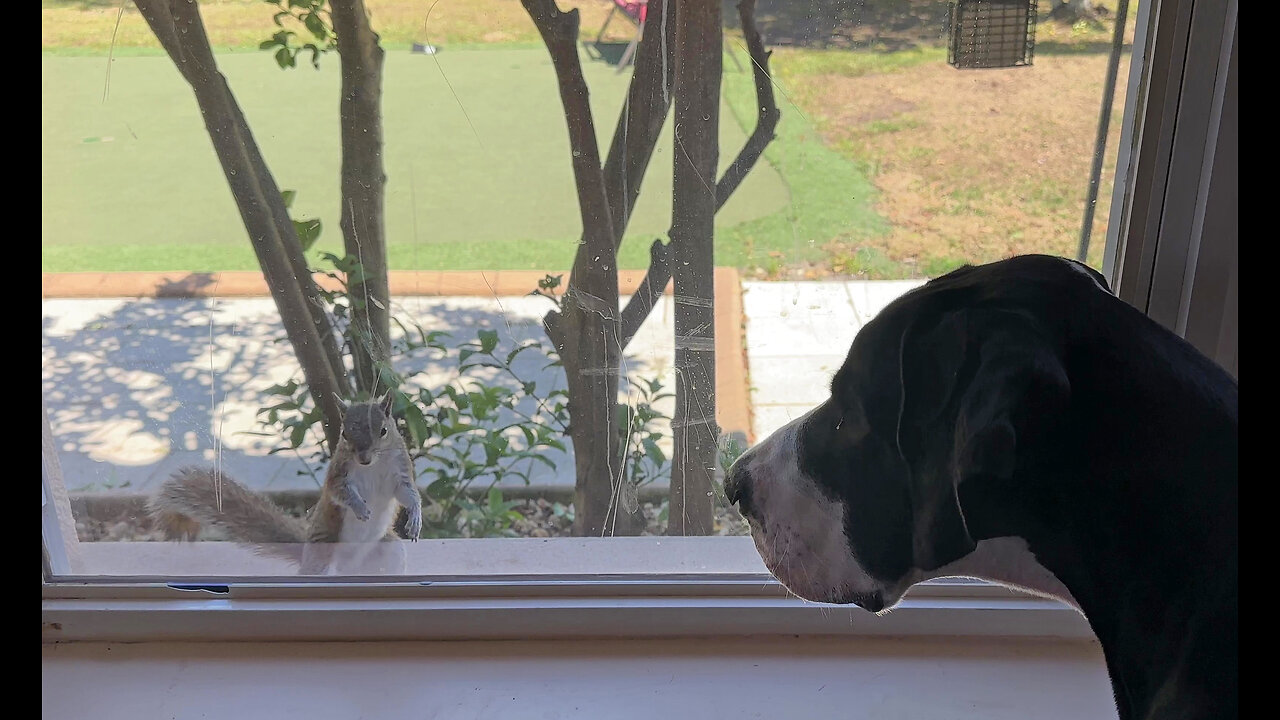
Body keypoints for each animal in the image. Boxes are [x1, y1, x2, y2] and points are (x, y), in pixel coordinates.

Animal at [149, 392, 419, 571]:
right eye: (344, 433)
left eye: (383, 430)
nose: (363, 458)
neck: (375, 465)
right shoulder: (339, 472)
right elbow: (339, 491)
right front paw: (360, 507)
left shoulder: (400, 469)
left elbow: (407, 493)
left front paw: (414, 520)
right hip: (324, 553)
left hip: (389, 550)